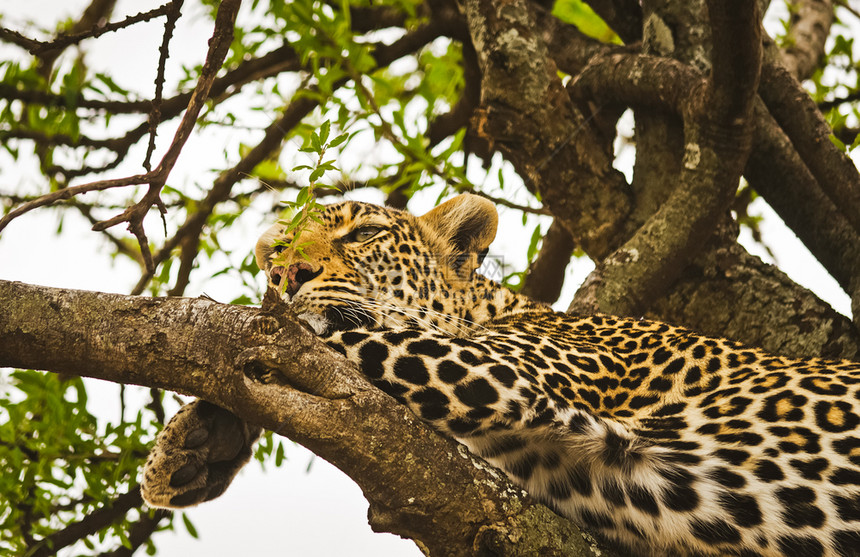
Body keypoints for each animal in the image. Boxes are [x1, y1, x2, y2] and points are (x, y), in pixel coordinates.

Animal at [143, 193, 860, 552]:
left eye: (363, 234)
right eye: (280, 251)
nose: (285, 273)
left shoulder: (502, 373)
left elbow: (329, 332)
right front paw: (192, 445)